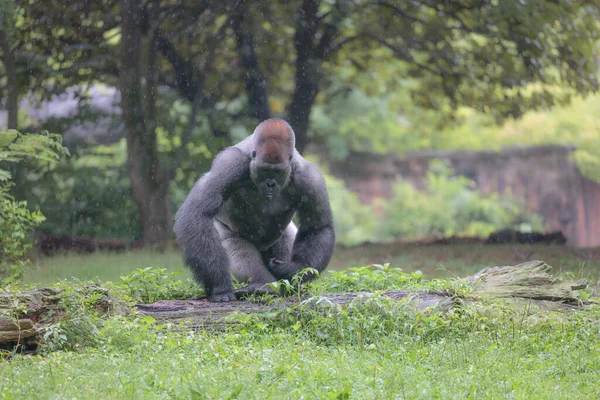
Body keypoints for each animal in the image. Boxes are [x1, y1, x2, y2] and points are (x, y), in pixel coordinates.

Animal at [173, 119, 336, 304]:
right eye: (265, 170)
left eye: (277, 172)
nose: (270, 184)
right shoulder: (229, 163)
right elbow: (198, 213)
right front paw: (219, 285)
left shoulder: (310, 178)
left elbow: (318, 227)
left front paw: (293, 269)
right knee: (238, 249)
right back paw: (262, 285)